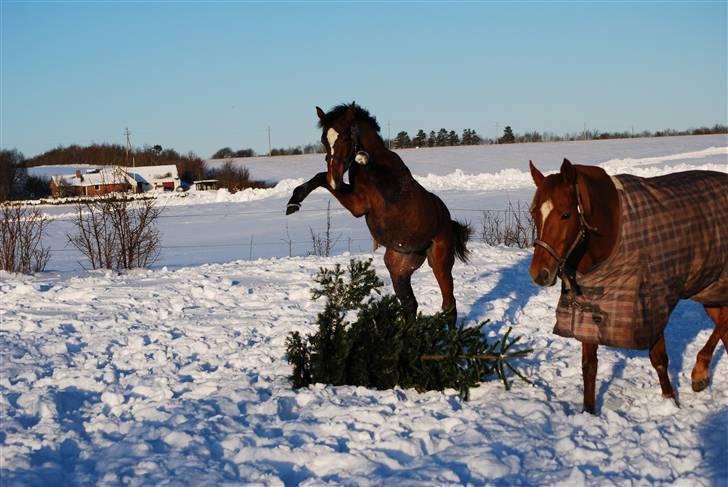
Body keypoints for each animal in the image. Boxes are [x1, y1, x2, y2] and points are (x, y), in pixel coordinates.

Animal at [288, 101, 470, 318]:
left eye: (346, 137)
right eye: (324, 139)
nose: (336, 178)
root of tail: (449, 222)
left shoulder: (359, 205)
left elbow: (323, 177)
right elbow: (320, 176)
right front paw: (293, 203)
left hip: (440, 263)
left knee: (449, 305)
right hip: (399, 267)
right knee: (410, 304)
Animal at [528, 160, 728, 416]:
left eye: (566, 214)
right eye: (534, 213)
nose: (539, 274)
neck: (614, 230)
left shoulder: (650, 303)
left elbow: (659, 359)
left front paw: (671, 402)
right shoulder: (591, 309)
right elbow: (589, 366)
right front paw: (589, 413)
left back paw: (699, 374)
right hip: (711, 291)